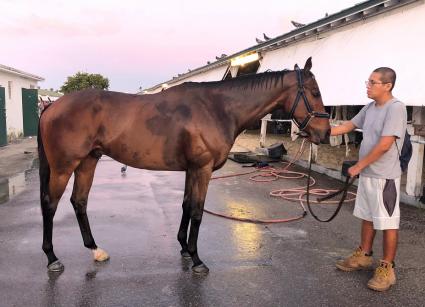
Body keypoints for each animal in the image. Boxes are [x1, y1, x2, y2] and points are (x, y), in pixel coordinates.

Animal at [38, 57, 330, 274]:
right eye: (315, 92)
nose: (325, 133)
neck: (218, 108)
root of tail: (51, 106)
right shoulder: (202, 169)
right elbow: (198, 211)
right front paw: (197, 259)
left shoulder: (193, 170)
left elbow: (187, 206)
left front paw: (184, 249)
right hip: (64, 167)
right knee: (50, 204)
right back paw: (52, 258)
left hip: (88, 162)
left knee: (79, 202)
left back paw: (95, 250)